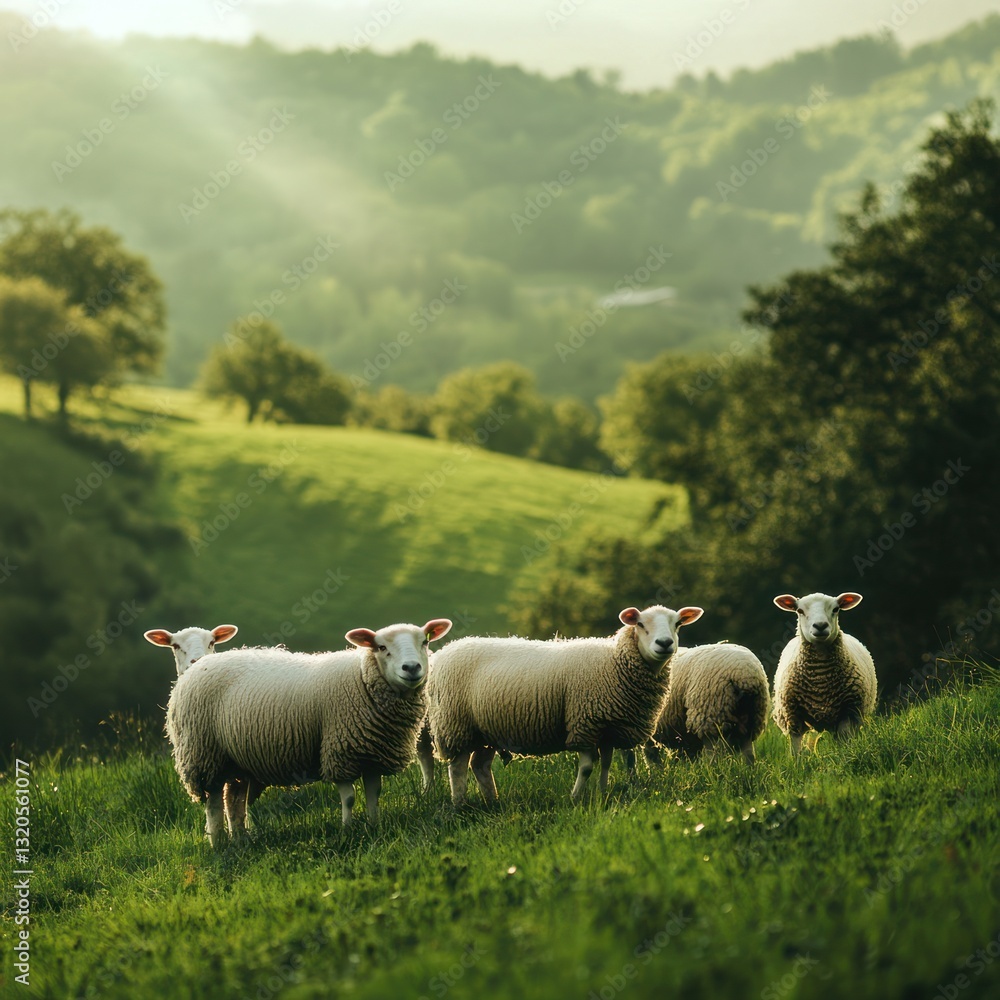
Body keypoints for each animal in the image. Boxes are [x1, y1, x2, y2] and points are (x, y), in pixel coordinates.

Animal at [166, 617, 452, 846]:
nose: (411, 668)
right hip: (204, 753)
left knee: (234, 800)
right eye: (382, 647)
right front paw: (347, 830)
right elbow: (349, 798)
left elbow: (374, 795)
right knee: (214, 802)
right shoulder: (340, 749)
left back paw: (240, 840)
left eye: (424, 642)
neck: (362, 679)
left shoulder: (371, 752)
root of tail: (194, 669)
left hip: (235, 760)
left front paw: (374, 826)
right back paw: (218, 844)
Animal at [426, 604, 703, 805]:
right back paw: (460, 804)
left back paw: (492, 802)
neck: (615, 663)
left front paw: (602, 794)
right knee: (458, 767)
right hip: (456, 725)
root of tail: (444, 652)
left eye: (677, 624)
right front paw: (576, 798)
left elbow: (605, 764)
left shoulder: (607, 728)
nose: (665, 644)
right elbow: (587, 767)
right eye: (641, 624)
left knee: (480, 765)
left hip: (486, 730)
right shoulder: (585, 723)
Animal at [772, 592, 876, 754]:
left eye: (836, 609)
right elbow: (796, 748)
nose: (820, 626)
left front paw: (844, 755)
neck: (821, 680)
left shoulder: (848, 711)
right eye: (800, 611)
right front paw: (799, 760)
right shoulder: (792, 715)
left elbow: (843, 739)